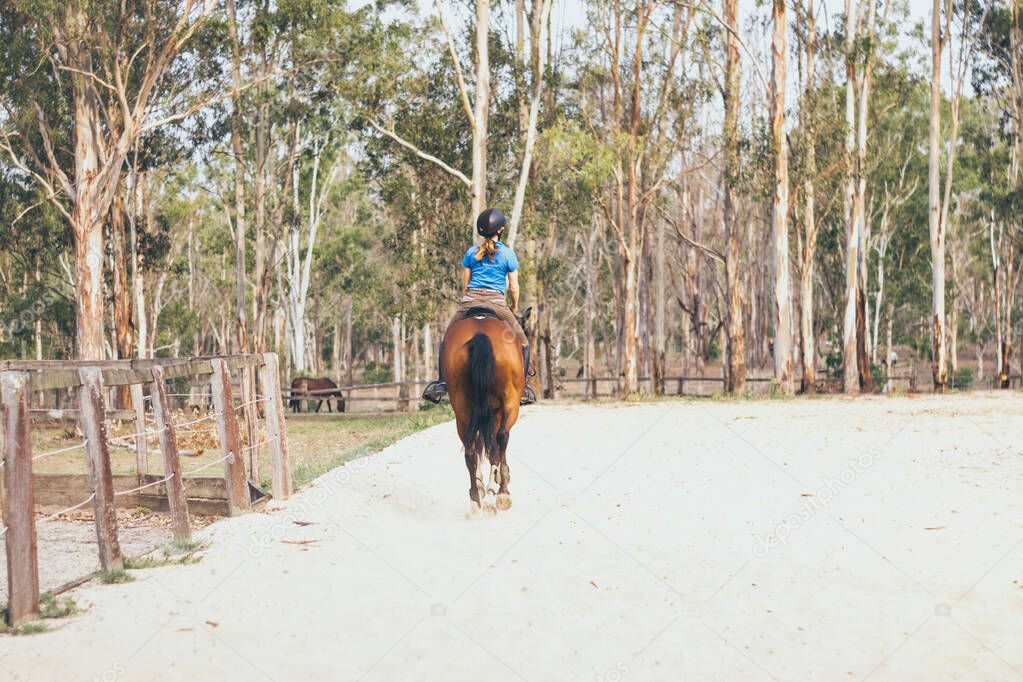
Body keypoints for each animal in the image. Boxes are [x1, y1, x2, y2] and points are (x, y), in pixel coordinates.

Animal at [443, 306, 531, 515]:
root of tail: (480, 335)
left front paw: (484, 486)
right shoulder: (498, 412)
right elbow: (495, 448)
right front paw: (496, 485)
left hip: (461, 410)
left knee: (470, 448)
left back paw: (475, 499)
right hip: (510, 404)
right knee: (501, 438)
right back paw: (502, 493)